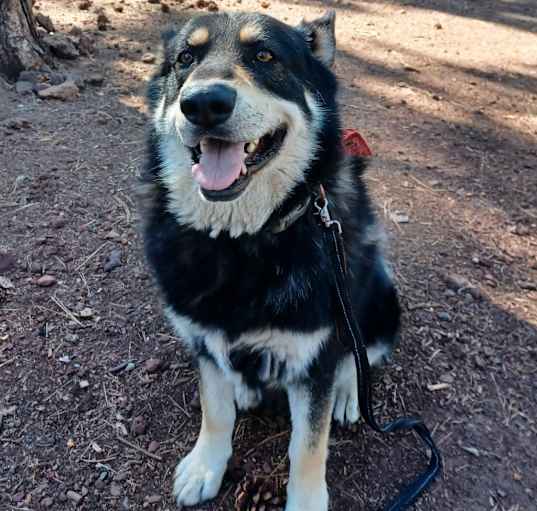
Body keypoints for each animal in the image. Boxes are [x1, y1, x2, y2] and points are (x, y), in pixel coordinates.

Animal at [140, 9, 400, 511]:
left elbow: (308, 445)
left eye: (264, 56)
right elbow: (215, 409)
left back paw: (348, 392)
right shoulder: (203, 334)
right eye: (185, 59)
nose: (204, 104)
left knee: (360, 354)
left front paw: (306, 499)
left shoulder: (315, 358)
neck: (243, 240)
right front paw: (206, 466)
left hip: (380, 295)